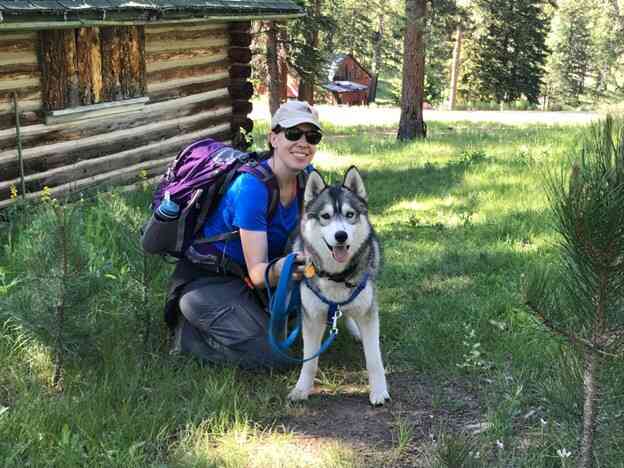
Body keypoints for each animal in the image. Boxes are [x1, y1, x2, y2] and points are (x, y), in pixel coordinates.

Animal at [288, 167, 390, 406]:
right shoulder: (312, 317)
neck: (336, 276)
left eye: (349, 214)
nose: (340, 236)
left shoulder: (368, 312)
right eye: (325, 216)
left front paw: (379, 391)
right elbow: (309, 360)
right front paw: (301, 389)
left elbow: (374, 359)